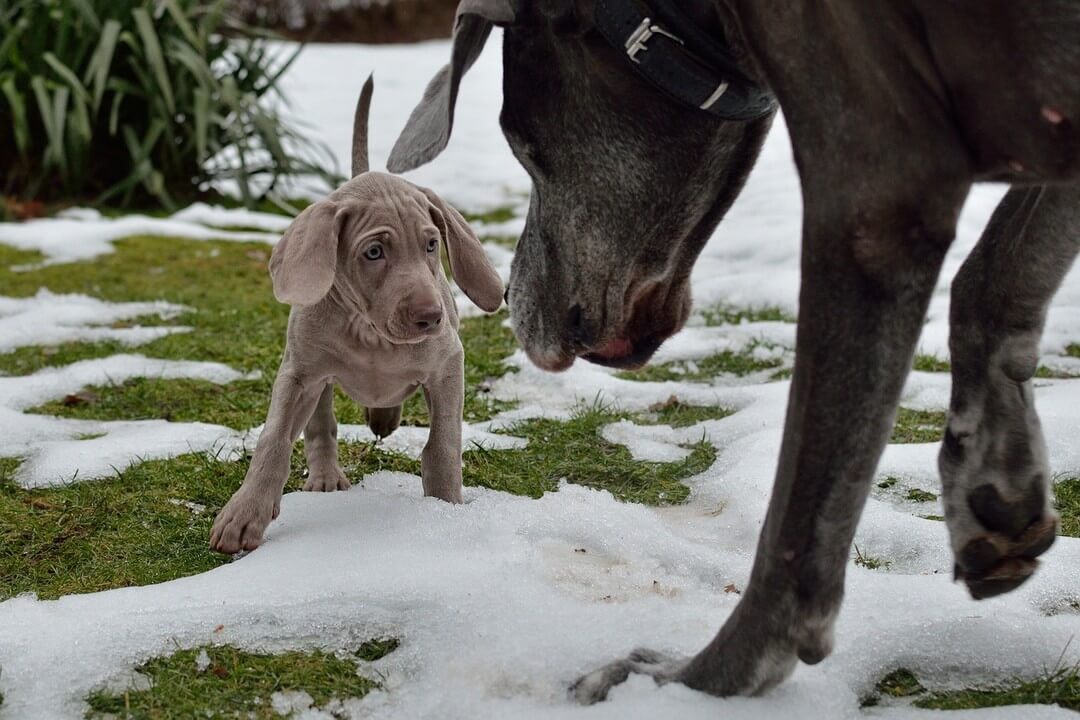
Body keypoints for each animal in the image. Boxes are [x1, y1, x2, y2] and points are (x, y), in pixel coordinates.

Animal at [384, 0, 1080, 708]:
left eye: (524, 147)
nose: (511, 299)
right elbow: (995, 275)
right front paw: (997, 479)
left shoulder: (873, 201)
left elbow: (798, 522)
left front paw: (695, 679)